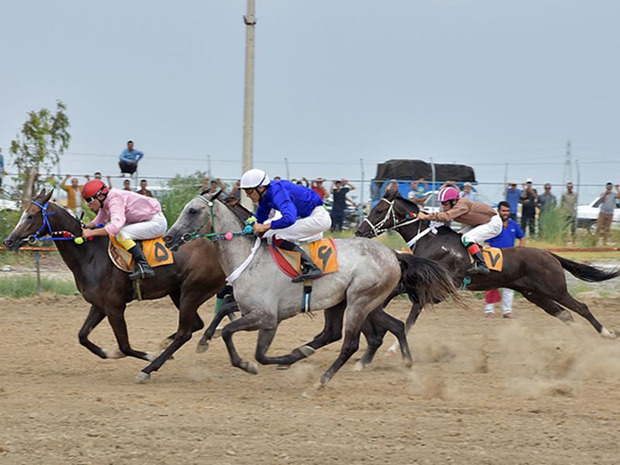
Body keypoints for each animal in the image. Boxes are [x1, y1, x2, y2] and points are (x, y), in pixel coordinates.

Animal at [3, 188, 232, 380]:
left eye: (31, 215)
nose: (8, 241)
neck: (89, 254)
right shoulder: (99, 305)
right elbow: (82, 336)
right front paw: (108, 352)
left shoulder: (114, 307)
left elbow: (124, 346)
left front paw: (147, 355)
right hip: (178, 292)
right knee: (195, 325)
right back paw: (166, 346)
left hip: (193, 291)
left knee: (186, 332)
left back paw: (151, 366)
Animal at [162, 190, 458, 386]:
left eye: (192, 210)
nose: (168, 238)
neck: (250, 257)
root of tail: (394, 255)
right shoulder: (264, 316)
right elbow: (242, 336)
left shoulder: (266, 316)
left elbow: (234, 336)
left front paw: (250, 364)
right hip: (354, 303)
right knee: (376, 328)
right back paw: (404, 362)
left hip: (359, 301)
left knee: (350, 343)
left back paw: (323, 379)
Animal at [356, 189, 620, 348]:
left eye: (379, 210)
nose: (359, 231)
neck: (430, 240)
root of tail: (548, 254)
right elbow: (394, 294)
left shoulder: (438, 286)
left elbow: (412, 314)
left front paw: (391, 347)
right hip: (536, 295)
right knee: (565, 314)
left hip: (555, 289)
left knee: (581, 308)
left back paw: (606, 333)